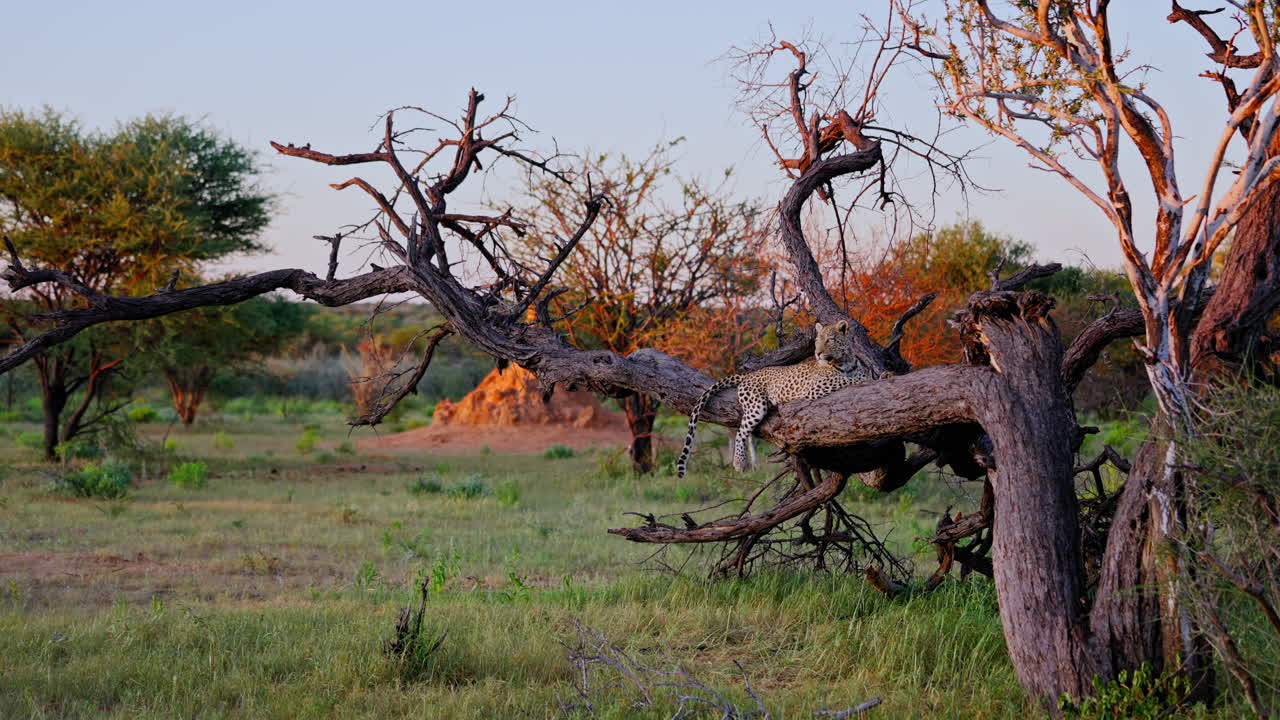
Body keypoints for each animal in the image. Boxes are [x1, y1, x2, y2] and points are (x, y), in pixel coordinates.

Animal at [676, 320, 871, 479]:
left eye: (829, 339)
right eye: (817, 341)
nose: (817, 353)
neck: (845, 362)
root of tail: (749, 374)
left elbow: (856, 375)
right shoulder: (816, 387)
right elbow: (845, 379)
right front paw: (865, 379)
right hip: (756, 406)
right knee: (740, 431)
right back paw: (740, 463)